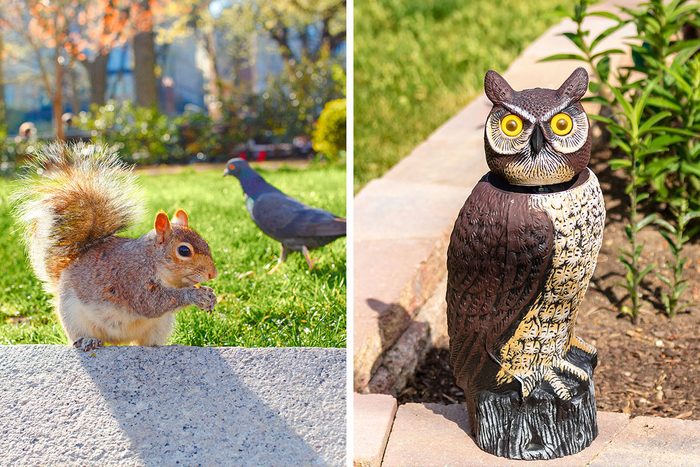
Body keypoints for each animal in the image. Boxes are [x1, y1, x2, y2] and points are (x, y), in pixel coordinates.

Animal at [13, 142, 218, 351]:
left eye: (206, 243)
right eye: (184, 251)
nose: (213, 274)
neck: (153, 260)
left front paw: (209, 295)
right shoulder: (132, 278)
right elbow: (151, 303)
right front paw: (194, 295)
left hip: (160, 326)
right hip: (73, 317)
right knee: (79, 336)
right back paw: (88, 340)